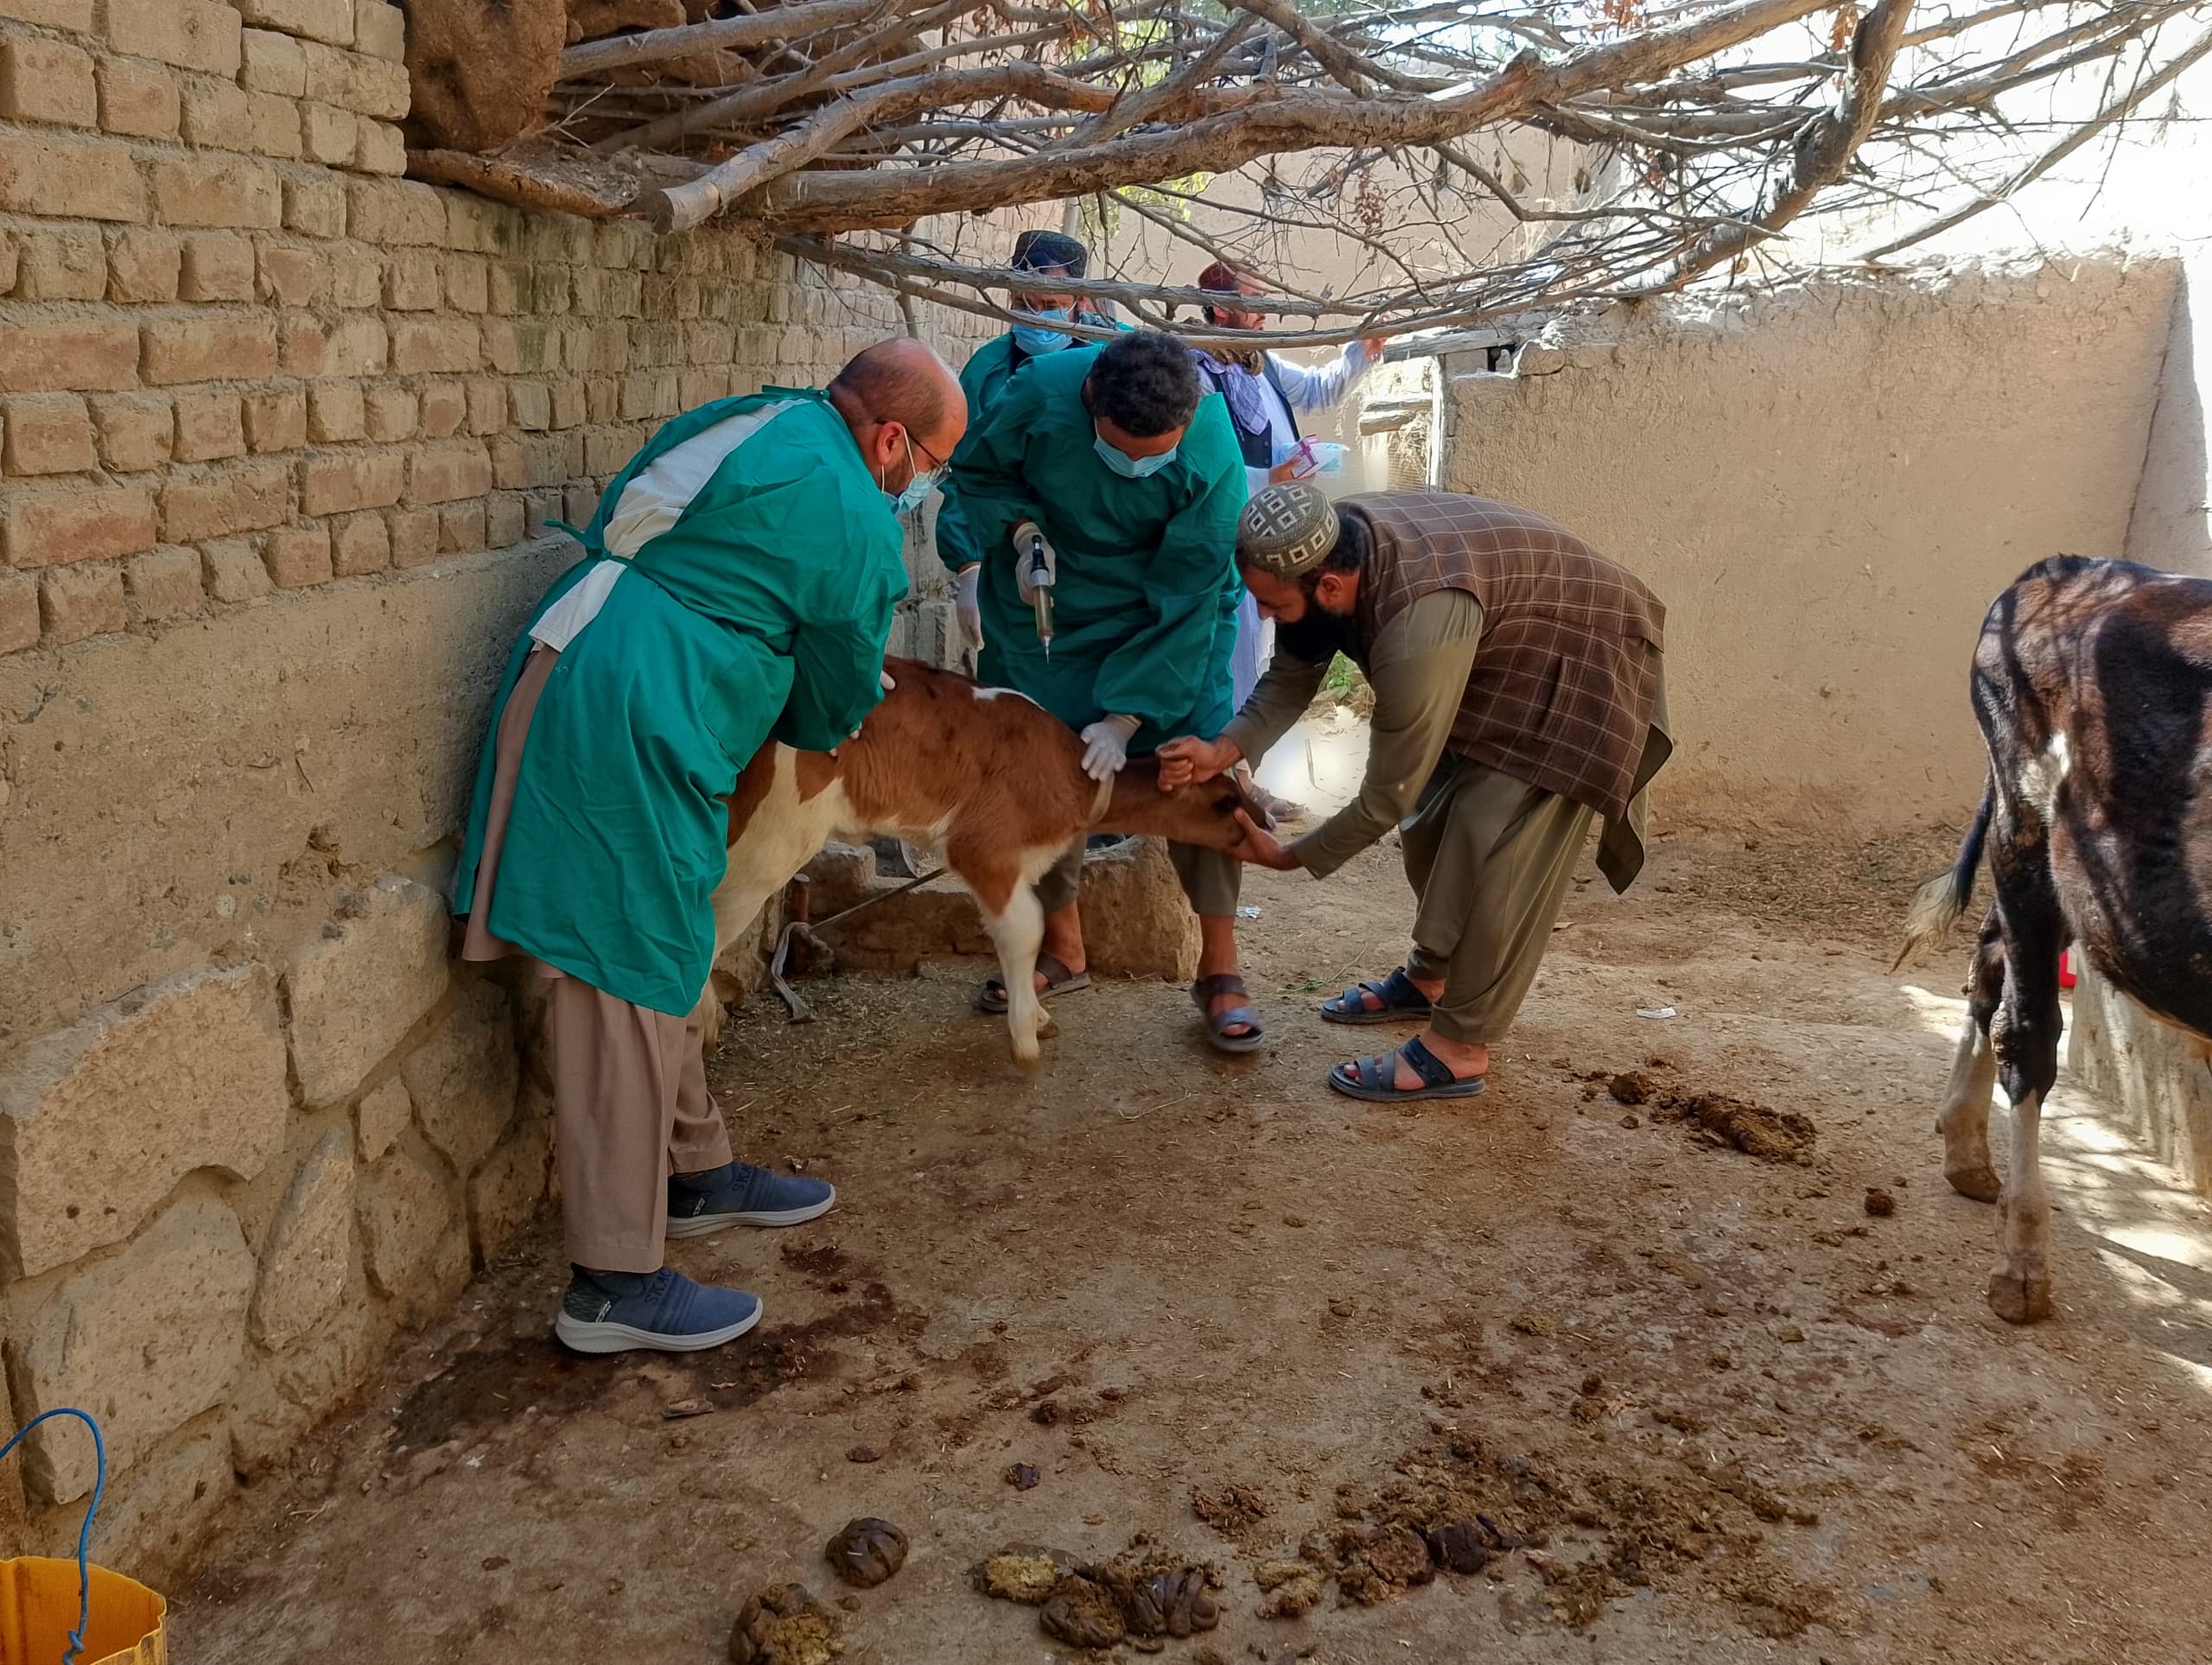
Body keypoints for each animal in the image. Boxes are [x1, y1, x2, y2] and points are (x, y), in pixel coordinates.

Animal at [708, 654, 1265, 1065]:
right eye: (1225, 804)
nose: (1261, 830)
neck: (1075, 781)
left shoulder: (1017, 858)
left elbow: (1016, 929)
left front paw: (1034, 1015)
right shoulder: (982, 846)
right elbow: (1026, 930)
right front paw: (1025, 1038)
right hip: (773, 836)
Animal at [1893, 559, 2212, 1326]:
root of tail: (2071, 566)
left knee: (1988, 963)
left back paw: (1968, 1152)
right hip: (2026, 828)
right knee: (2027, 1029)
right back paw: (2023, 1259)